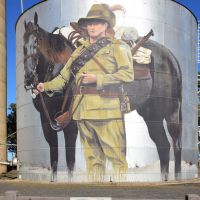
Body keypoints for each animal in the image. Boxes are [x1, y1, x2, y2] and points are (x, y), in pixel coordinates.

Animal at [23, 12, 181, 181]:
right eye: (23, 45)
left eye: (37, 41)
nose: (28, 79)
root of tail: (170, 57)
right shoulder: (46, 121)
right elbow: (53, 157)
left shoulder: (71, 123)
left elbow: (70, 159)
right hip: (151, 114)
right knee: (163, 145)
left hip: (171, 112)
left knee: (176, 143)